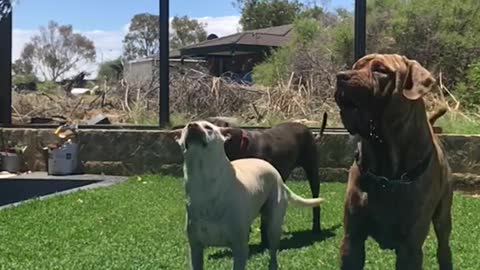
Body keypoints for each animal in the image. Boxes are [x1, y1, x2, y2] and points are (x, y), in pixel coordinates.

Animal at [167, 121, 324, 268]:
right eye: (185, 128)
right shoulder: (195, 249)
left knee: (273, 253)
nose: (192, 125)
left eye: (208, 127)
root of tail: (278, 177)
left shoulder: (240, 248)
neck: (206, 184)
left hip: (275, 223)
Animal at [336, 53, 452, 268]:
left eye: (381, 70)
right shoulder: (352, 239)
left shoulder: (410, 248)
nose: (341, 76)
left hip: (443, 216)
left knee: (444, 246)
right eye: (356, 67)